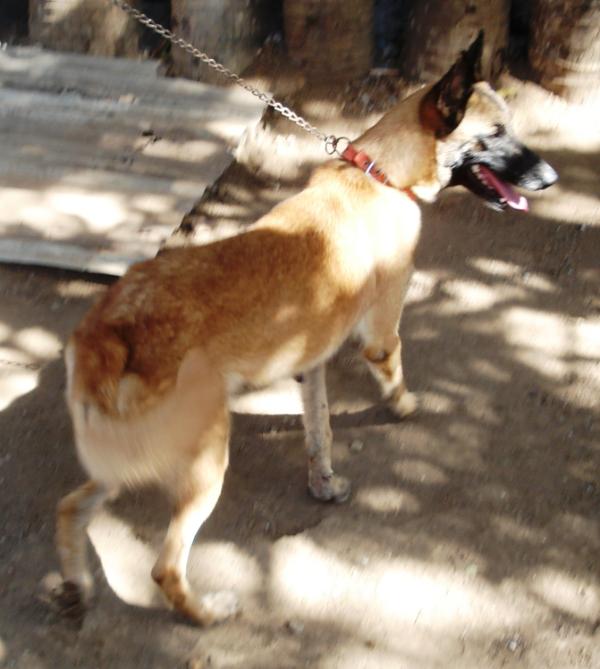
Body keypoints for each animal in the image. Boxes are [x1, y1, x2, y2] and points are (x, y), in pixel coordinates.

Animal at [56, 32, 556, 628]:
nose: (551, 179)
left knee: (69, 507)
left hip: (125, 459)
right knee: (164, 569)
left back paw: (76, 584)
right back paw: (207, 613)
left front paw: (324, 484)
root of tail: (111, 331)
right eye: (496, 133)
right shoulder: (380, 337)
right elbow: (394, 378)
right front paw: (405, 409)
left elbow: (321, 433)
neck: (378, 175)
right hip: (206, 463)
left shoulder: (309, 364)